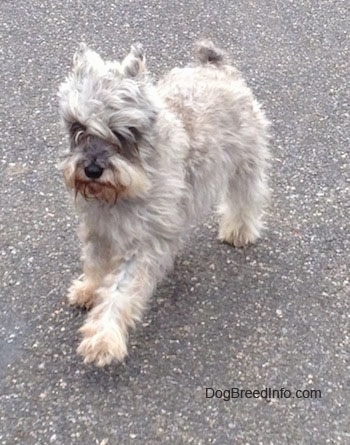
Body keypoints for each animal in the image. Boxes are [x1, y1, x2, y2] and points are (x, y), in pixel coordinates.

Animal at [58, 40, 270, 366]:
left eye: (122, 131)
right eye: (77, 126)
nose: (92, 169)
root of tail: (217, 67)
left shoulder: (142, 245)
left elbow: (120, 291)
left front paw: (104, 338)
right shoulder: (98, 228)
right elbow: (94, 262)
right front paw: (89, 289)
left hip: (245, 163)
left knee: (246, 197)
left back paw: (239, 230)